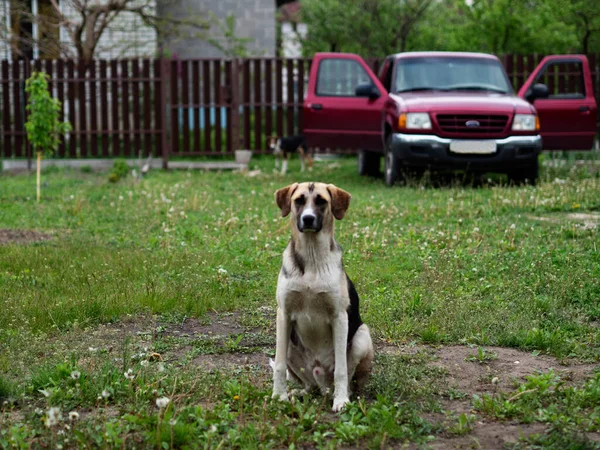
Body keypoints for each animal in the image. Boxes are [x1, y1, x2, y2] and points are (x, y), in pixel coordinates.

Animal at [272, 182, 376, 412]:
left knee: (352, 382)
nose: (308, 219)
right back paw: (299, 392)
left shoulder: (339, 317)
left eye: (322, 201)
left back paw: (345, 395)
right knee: (309, 385)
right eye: (299, 200)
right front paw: (278, 396)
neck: (312, 257)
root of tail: (322, 384)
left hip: (362, 337)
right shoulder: (284, 314)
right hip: (291, 345)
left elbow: (341, 370)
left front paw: (341, 401)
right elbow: (279, 364)